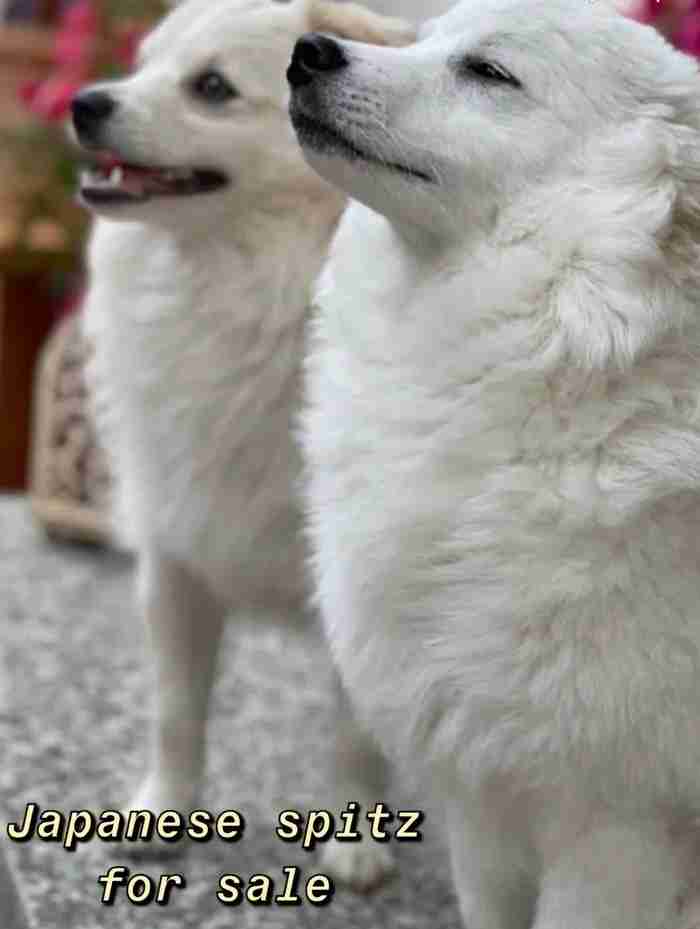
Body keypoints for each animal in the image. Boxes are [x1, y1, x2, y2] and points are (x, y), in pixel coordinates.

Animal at [75, 0, 416, 892]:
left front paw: (357, 839)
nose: (84, 103)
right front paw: (164, 812)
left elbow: (353, 732)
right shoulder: (176, 559)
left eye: (212, 88)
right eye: (144, 64)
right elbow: (175, 708)